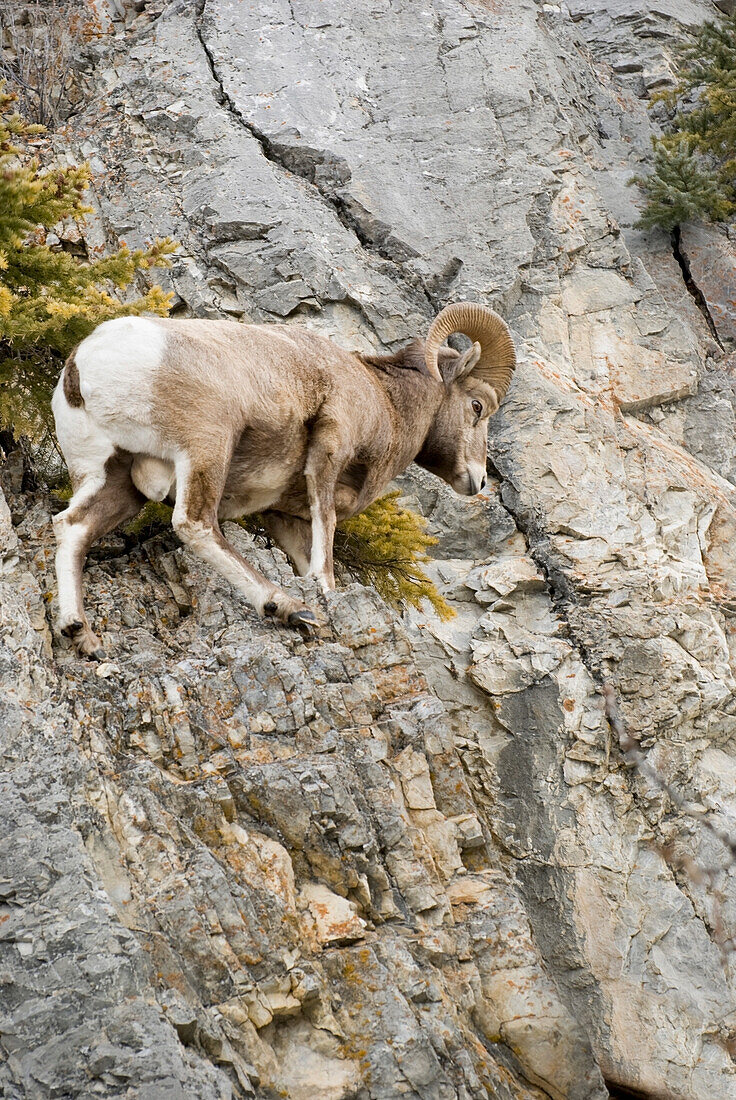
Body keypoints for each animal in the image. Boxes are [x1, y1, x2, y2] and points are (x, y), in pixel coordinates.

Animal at [51, 301, 514, 655]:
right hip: (207, 446)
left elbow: (306, 552)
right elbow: (325, 532)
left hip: (116, 479)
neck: (385, 400)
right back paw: (289, 608)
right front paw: (324, 591)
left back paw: (82, 635)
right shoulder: (329, 452)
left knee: (72, 526)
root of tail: (83, 365)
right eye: (477, 406)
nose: (478, 482)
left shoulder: (284, 516)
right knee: (195, 524)